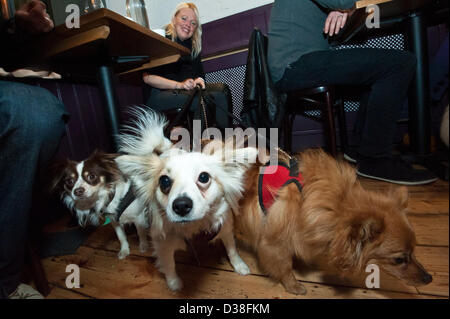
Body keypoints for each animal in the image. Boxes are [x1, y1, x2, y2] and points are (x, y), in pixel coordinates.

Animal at [114, 110, 258, 292]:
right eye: (164, 181)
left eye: (203, 177)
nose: (181, 205)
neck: (194, 227)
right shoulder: (162, 243)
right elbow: (169, 264)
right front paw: (174, 283)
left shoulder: (225, 227)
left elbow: (232, 249)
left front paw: (239, 265)